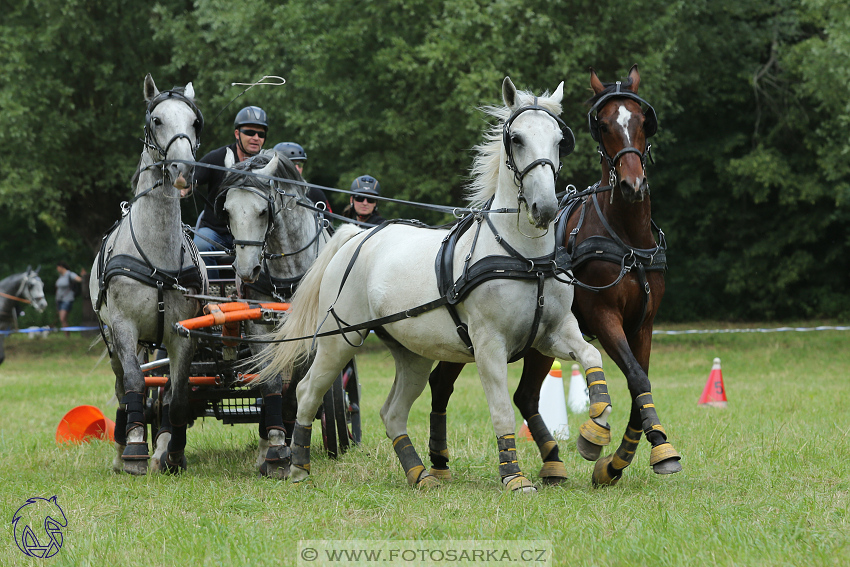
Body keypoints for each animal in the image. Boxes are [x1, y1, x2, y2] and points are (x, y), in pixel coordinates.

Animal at [90, 74, 207, 474]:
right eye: (157, 120)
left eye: (195, 122)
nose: (183, 170)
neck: (157, 259)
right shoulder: (123, 326)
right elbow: (136, 384)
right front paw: (137, 450)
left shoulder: (183, 334)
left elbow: (178, 393)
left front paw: (172, 451)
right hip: (115, 338)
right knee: (123, 385)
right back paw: (124, 443)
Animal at [217, 153, 330, 478]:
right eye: (227, 211)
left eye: (262, 211)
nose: (246, 270)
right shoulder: (259, 327)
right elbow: (270, 383)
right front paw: (277, 448)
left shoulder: (310, 336)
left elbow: (294, 389)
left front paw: (291, 441)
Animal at [262, 77, 608, 494]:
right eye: (517, 139)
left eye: (559, 139)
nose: (545, 208)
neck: (524, 257)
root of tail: (356, 237)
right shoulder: (489, 344)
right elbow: (501, 410)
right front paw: (514, 476)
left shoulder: (554, 332)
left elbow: (592, 358)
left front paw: (595, 434)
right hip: (339, 338)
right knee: (308, 390)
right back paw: (298, 464)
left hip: (413, 353)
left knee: (392, 412)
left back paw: (418, 473)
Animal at [428, 64, 680, 486]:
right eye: (604, 124)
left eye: (642, 121)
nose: (632, 185)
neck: (626, 238)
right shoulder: (603, 317)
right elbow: (636, 377)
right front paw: (623, 449)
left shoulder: (643, 323)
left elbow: (639, 382)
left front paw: (623, 459)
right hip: (466, 340)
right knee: (442, 385)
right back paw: (438, 461)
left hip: (537, 342)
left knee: (525, 395)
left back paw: (552, 461)